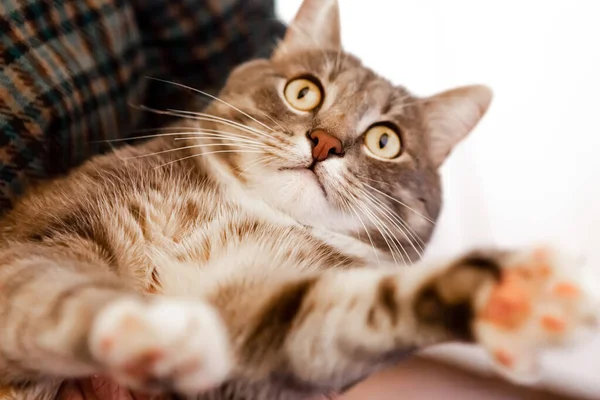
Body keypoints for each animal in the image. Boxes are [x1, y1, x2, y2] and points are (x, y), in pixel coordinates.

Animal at [0, 0, 596, 400]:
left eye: (385, 140)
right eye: (304, 90)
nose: (325, 142)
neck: (245, 214)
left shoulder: (266, 327)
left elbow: (348, 315)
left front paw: (506, 294)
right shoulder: (45, 234)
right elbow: (53, 288)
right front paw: (149, 324)